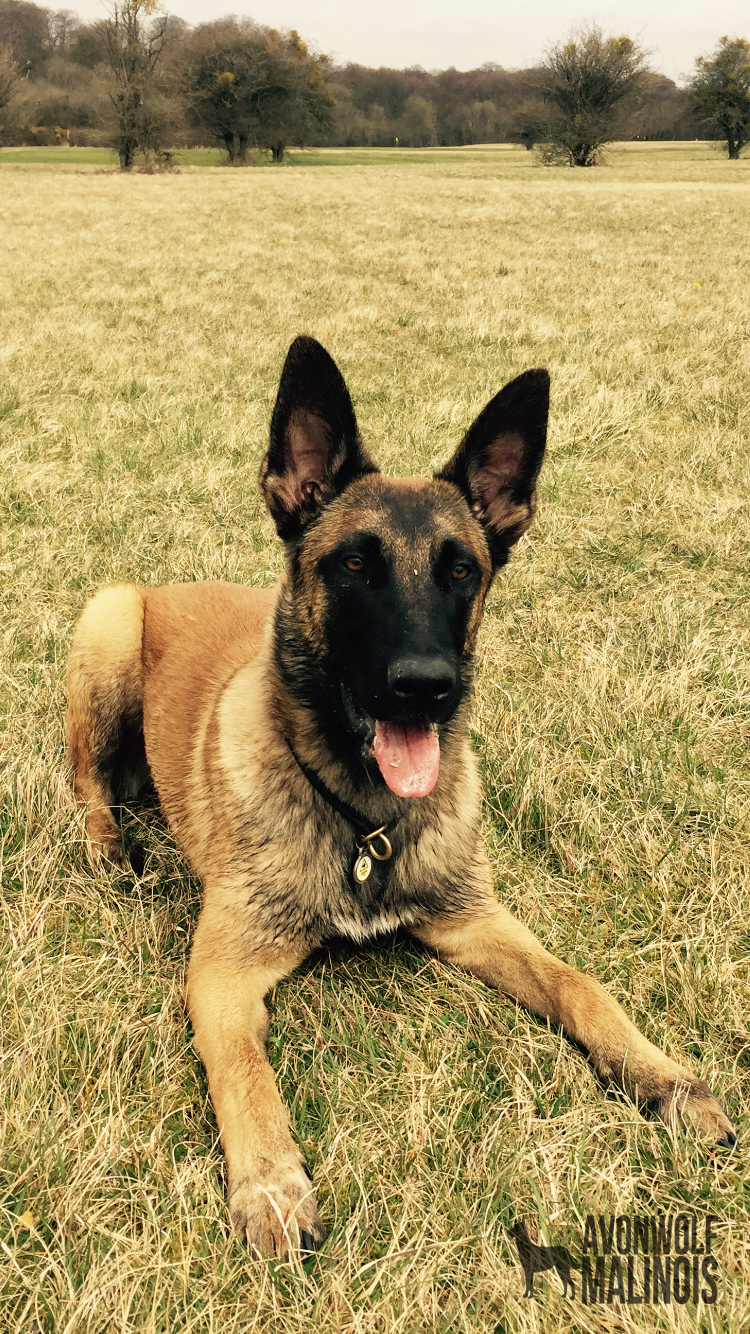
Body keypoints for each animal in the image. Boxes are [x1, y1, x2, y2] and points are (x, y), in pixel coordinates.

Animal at [66, 335, 736, 1258]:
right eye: (354, 564)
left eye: (462, 570)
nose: (425, 688)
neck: (362, 821)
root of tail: (164, 587)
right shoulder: (223, 974)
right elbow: (245, 1070)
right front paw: (270, 1185)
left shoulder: (475, 920)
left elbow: (577, 983)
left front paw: (662, 1077)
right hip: (108, 622)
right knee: (85, 779)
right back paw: (108, 846)